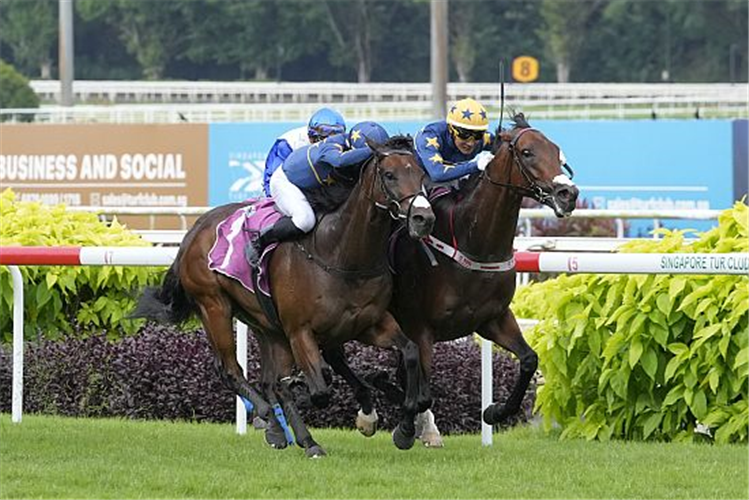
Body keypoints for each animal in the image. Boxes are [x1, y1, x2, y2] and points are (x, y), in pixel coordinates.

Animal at [132, 137, 436, 458]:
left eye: (421, 174)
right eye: (389, 175)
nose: (423, 218)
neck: (341, 253)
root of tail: (194, 231)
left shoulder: (368, 323)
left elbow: (410, 352)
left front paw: (403, 427)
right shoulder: (300, 331)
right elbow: (318, 390)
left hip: (263, 322)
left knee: (267, 379)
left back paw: (286, 432)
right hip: (214, 306)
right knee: (231, 370)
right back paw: (277, 422)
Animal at [328, 111, 580, 444]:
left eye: (556, 151)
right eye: (527, 152)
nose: (568, 194)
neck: (473, 243)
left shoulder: (493, 319)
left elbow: (528, 360)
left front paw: (495, 411)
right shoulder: (421, 328)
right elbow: (421, 392)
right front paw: (406, 428)